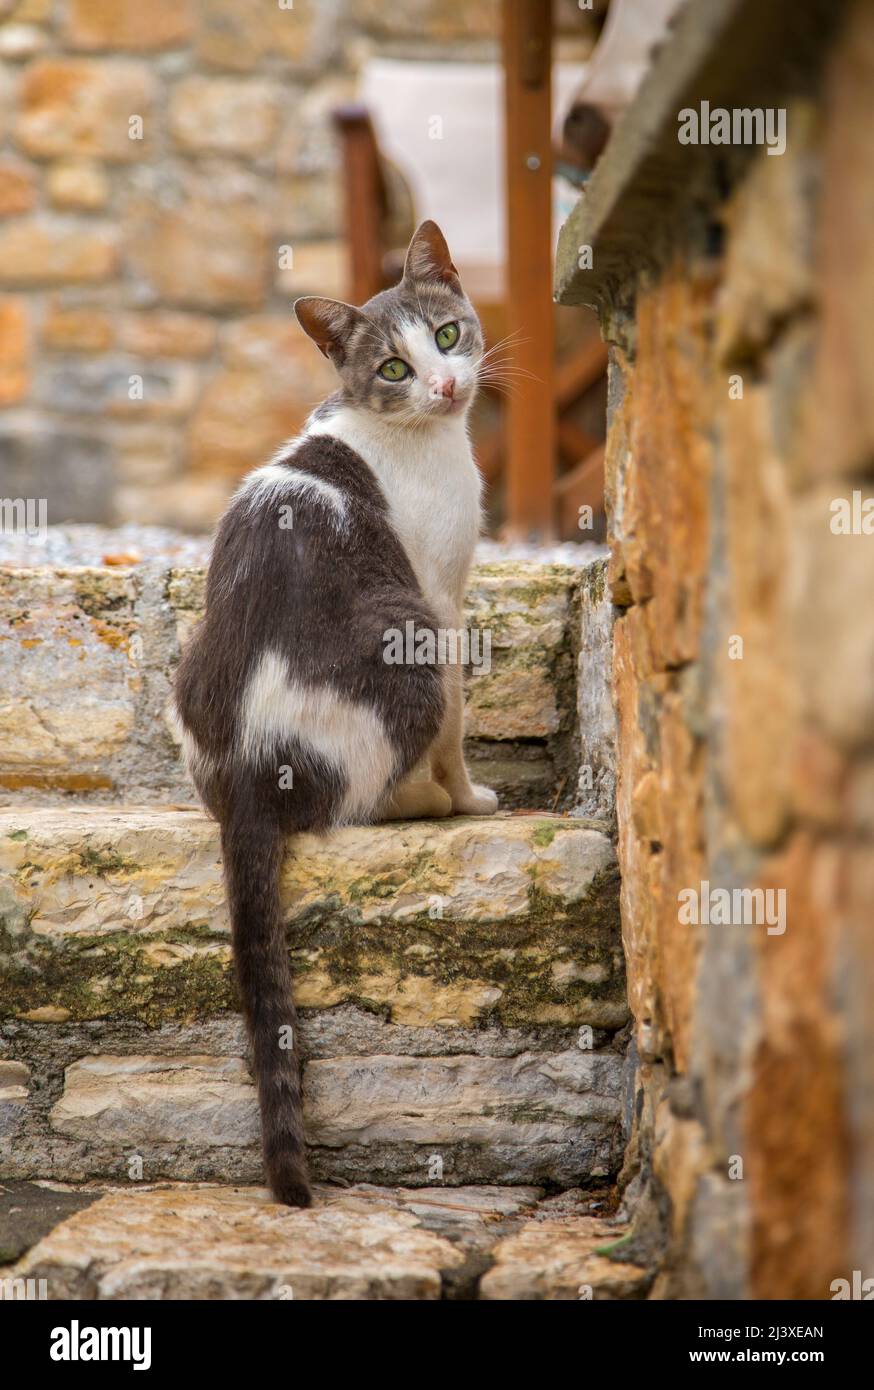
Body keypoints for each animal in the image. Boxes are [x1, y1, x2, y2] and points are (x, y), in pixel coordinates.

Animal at [172, 219, 497, 1206]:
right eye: (390, 367)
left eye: (447, 333)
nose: (444, 384)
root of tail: (248, 768)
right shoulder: (440, 599)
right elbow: (457, 725)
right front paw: (468, 796)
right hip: (401, 637)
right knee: (365, 792)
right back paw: (423, 801)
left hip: (186, 655)